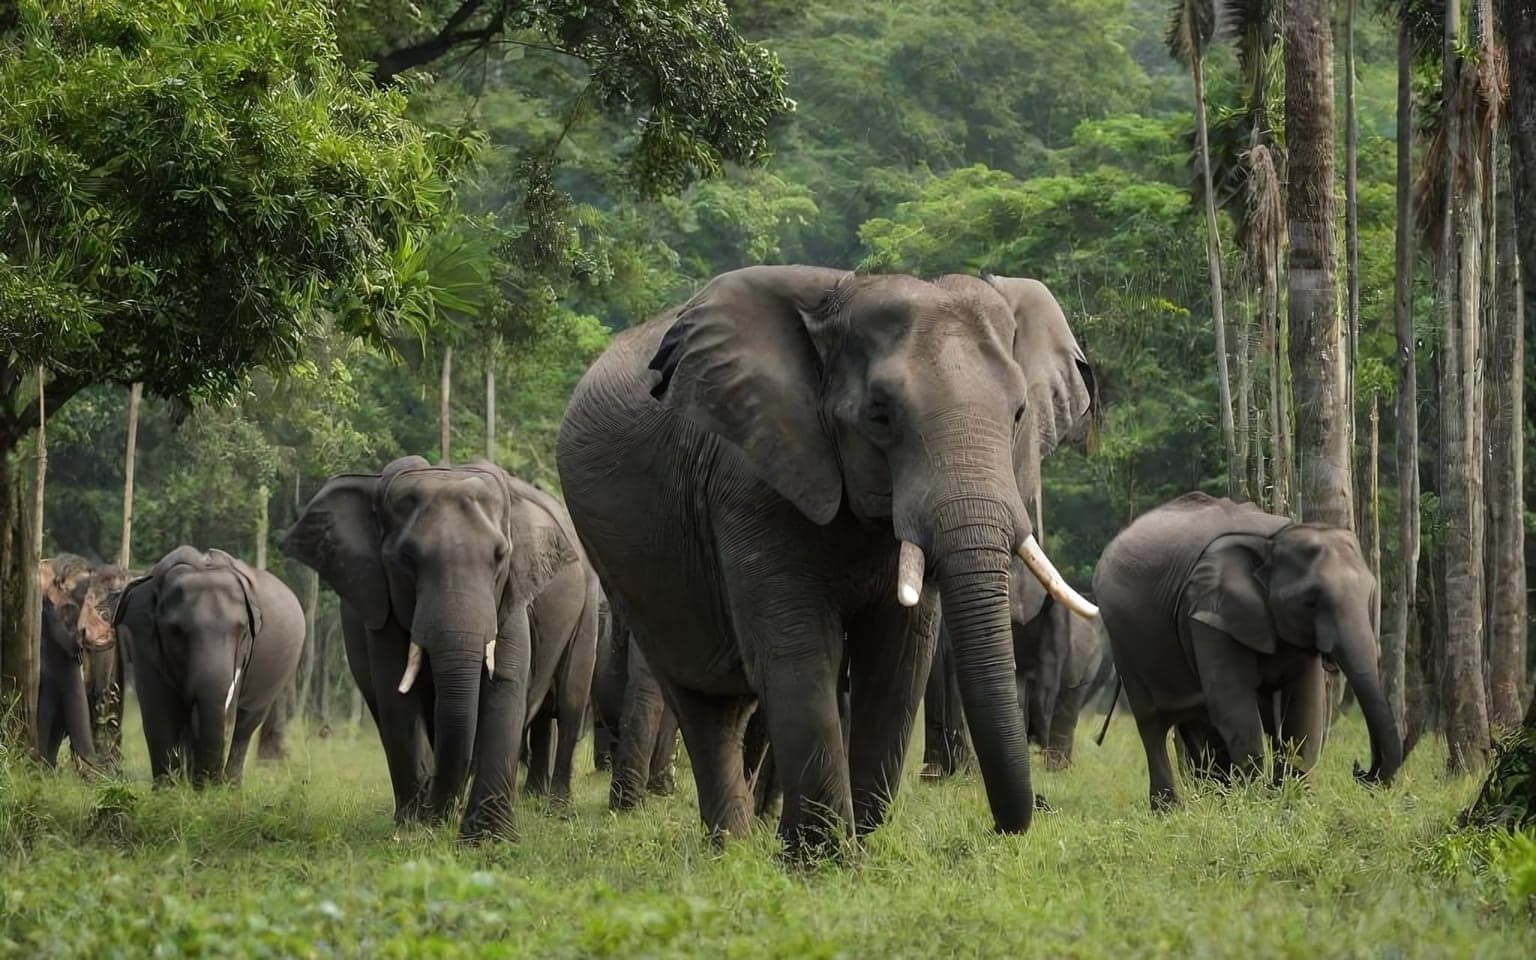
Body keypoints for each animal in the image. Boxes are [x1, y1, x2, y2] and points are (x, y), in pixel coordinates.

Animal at [113, 546, 304, 785]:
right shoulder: (145, 641)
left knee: (245, 725)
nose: (209, 783)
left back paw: (231, 784)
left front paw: (206, 790)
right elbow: (158, 709)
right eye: (176, 631)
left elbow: (225, 715)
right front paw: (169, 790)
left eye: (243, 632)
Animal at [282, 456, 599, 842]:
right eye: (406, 558)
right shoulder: (382, 602)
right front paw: (416, 828)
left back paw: (553, 807)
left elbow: (504, 688)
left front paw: (487, 840)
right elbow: (397, 696)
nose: (438, 815)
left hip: (589, 605)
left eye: (500, 556)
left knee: (568, 701)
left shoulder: (512, 595)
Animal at [557, 266, 1097, 851]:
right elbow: (799, 650)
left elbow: (898, 655)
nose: (1015, 822)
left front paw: (856, 844)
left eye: (1019, 414)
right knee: (700, 695)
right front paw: (823, 858)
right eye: (880, 416)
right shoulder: (750, 480)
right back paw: (733, 847)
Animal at [1091, 492, 1403, 810]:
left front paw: (1291, 803)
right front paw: (1255, 806)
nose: (1360, 770)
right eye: (1310, 601)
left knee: (1199, 724)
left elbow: (1304, 711)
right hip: (1125, 642)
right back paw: (1170, 810)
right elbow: (1236, 710)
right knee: (1153, 723)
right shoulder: (1208, 614)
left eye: (1371, 595)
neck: (1272, 542)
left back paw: (1212, 799)